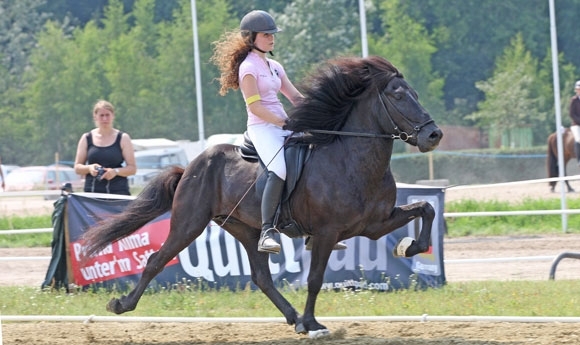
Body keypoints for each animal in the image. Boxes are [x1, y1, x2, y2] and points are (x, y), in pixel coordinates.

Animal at [82, 55, 444, 338]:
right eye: (398, 96)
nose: (433, 134)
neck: (351, 159)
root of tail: (190, 167)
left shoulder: (373, 224)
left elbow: (426, 207)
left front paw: (410, 246)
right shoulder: (327, 233)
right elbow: (314, 279)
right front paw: (315, 324)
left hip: (246, 228)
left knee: (261, 277)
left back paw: (294, 318)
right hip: (189, 223)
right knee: (157, 260)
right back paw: (121, 304)